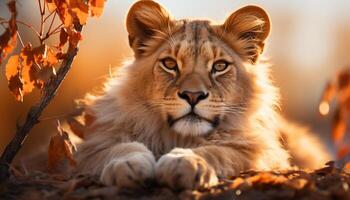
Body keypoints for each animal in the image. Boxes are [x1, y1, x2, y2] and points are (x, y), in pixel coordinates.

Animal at [75, 0, 332, 191]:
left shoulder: (263, 153)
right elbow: (117, 148)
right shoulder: (91, 146)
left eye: (219, 66)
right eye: (170, 64)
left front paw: (185, 161)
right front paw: (127, 164)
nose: (192, 95)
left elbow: (220, 151)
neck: (177, 136)